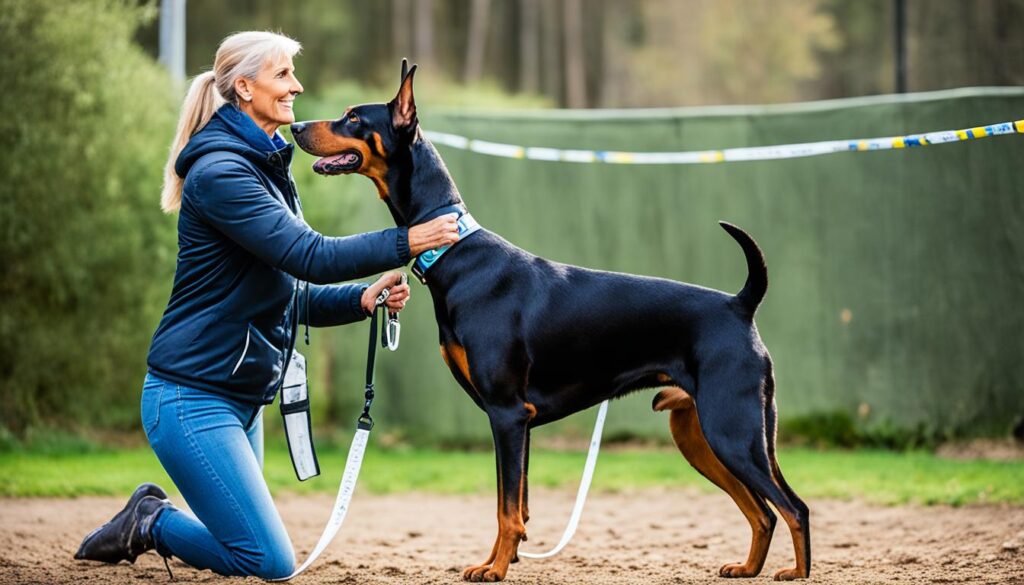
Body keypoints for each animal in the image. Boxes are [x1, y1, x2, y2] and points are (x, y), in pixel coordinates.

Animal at [292, 61, 811, 581]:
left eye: (353, 118)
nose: (295, 127)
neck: (455, 252)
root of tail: (739, 305)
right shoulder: (518, 422)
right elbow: (518, 506)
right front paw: (497, 561)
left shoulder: (507, 414)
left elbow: (506, 509)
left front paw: (495, 569)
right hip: (700, 433)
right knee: (761, 511)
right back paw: (747, 567)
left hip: (732, 429)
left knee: (792, 507)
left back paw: (794, 571)